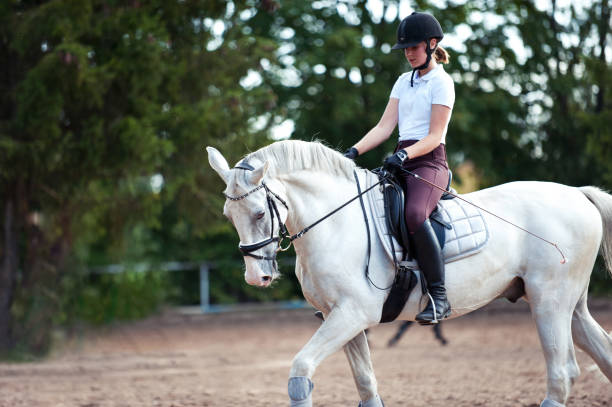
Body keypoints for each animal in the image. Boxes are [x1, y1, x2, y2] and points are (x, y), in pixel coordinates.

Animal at [208, 140, 612, 407]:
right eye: (228, 216)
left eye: (260, 213)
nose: (256, 278)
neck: (336, 223)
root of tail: (578, 194)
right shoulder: (338, 317)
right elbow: (366, 382)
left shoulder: (351, 314)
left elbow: (301, 369)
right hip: (569, 306)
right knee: (599, 354)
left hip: (549, 303)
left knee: (562, 374)